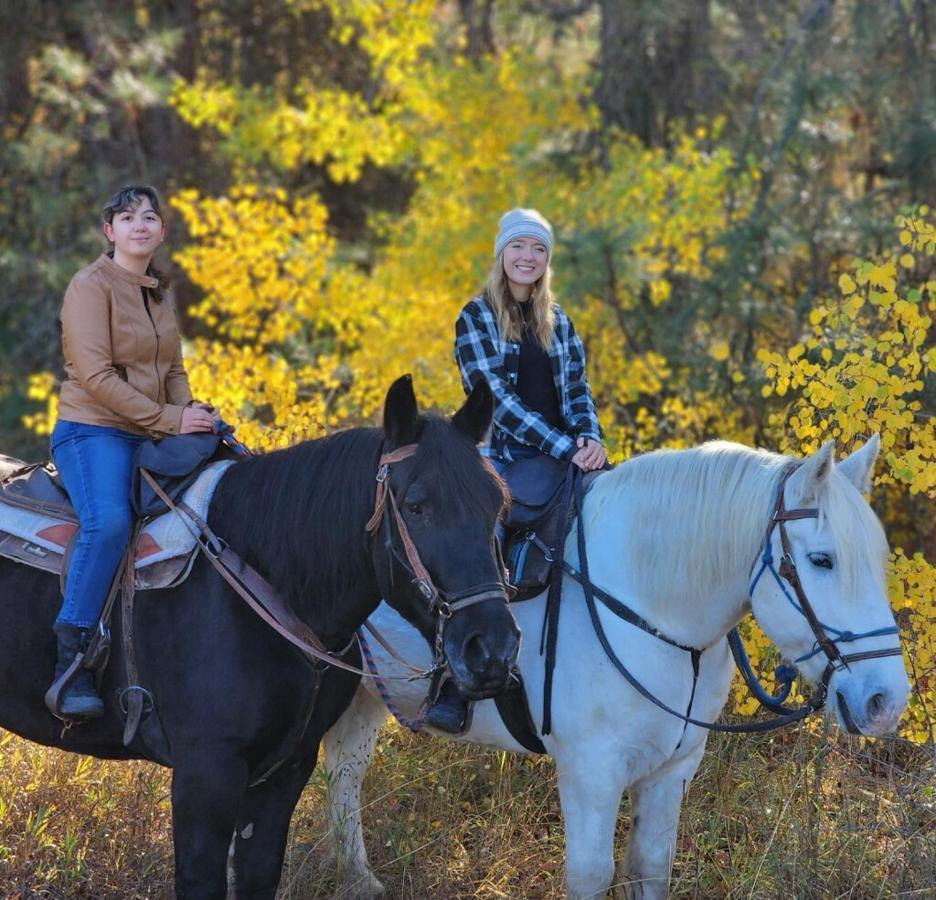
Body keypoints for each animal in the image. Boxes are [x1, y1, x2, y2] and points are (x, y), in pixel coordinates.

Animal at [0, 376, 520, 900]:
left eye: (498, 504)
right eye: (416, 505)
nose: (491, 649)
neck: (266, 579)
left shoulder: (285, 772)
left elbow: (258, 873)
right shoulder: (206, 776)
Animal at [322, 440, 908, 896]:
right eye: (822, 560)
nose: (886, 702)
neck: (646, 603)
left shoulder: (673, 769)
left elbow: (649, 868)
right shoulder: (591, 772)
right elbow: (592, 874)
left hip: (363, 696)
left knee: (345, 774)